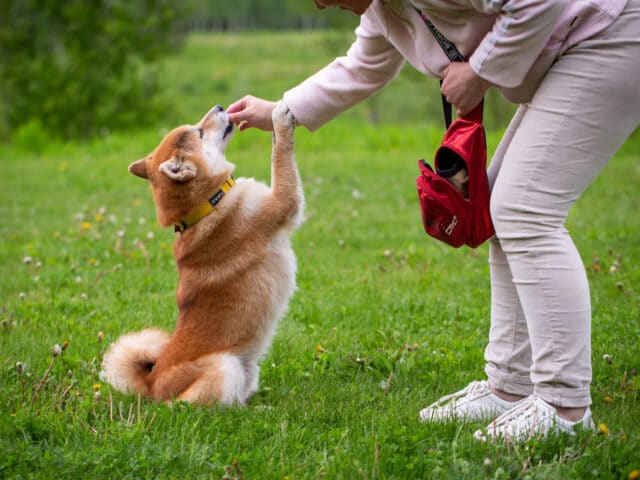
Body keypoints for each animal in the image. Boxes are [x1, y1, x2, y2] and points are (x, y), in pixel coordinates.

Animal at [101, 101, 304, 404]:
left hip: (246, 370)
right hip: (225, 366)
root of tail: (150, 385)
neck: (209, 204)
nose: (220, 106)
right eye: (199, 131)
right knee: (191, 405)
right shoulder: (283, 201)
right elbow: (280, 154)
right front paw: (279, 119)